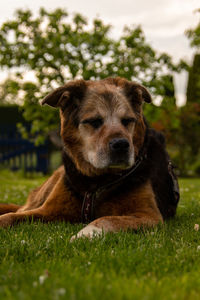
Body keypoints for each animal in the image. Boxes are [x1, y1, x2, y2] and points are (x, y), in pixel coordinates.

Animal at [0, 77, 180, 239]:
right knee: (19, 209)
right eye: (94, 121)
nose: (122, 145)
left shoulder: (149, 215)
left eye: (128, 121)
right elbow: (9, 216)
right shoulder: (48, 210)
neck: (96, 181)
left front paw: (86, 233)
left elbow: (107, 219)